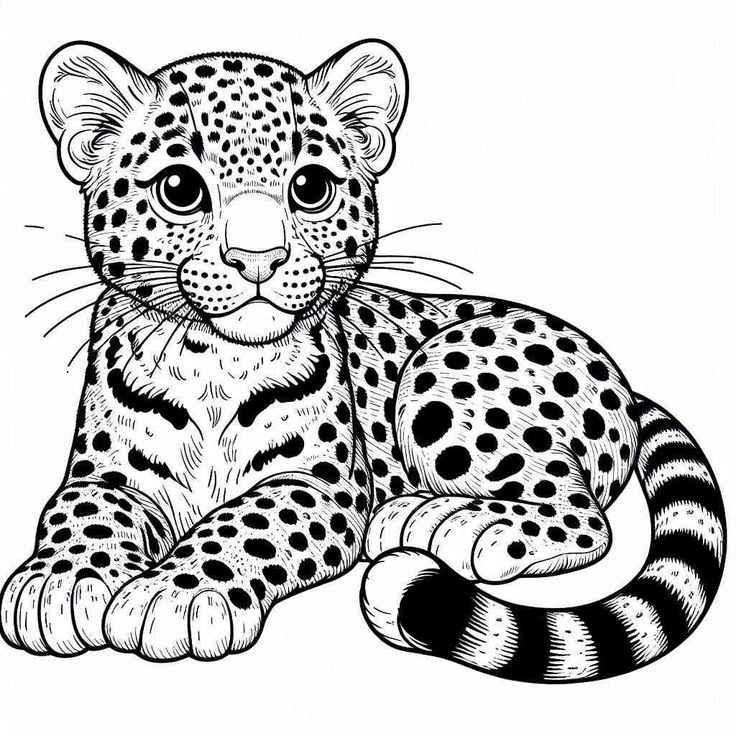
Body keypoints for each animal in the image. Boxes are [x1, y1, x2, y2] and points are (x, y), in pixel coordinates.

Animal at [0, 39, 725, 682]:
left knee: (581, 514)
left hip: (448, 372)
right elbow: (80, 512)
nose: (259, 260)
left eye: (310, 186)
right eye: (179, 187)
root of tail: (620, 379)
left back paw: (444, 519)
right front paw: (61, 583)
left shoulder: (321, 483)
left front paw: (178, 594)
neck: (218, 366)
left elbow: (249, 522)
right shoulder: (108, 473)